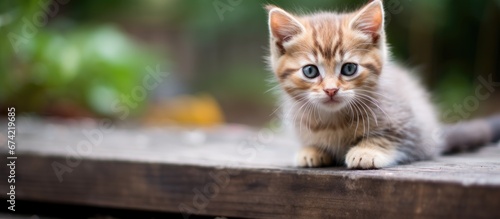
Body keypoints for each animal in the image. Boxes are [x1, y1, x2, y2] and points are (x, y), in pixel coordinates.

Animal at [266, 0, 496, 169]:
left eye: (349, 69)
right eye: (310, 71)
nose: (331, 90)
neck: (333, 121)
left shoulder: (411, 126)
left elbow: (389, 138)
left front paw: (366, 151)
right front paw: (311, 150)